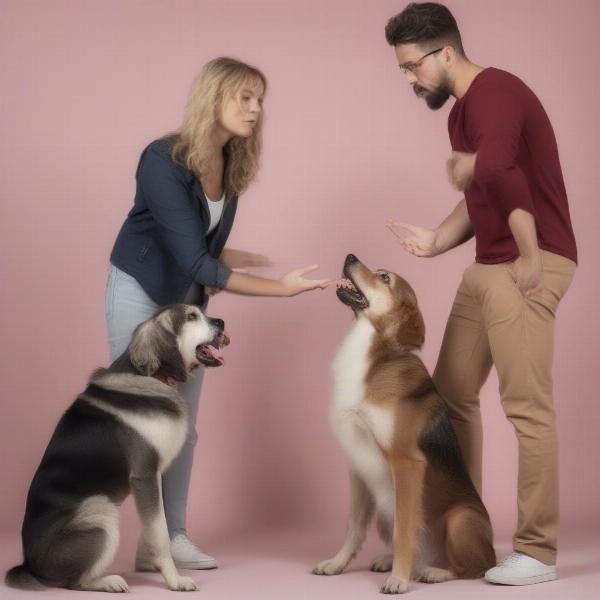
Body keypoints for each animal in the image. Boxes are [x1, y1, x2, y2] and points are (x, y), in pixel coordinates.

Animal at [5, 304, 230, 592]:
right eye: (192, 317)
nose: (221, 322)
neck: (151, 375)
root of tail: (29, 564)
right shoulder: (144, 473)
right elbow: (159, 533)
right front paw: (174, 579)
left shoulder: (154, 477)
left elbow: (156, 524)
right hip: (102, 512)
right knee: (74, 582)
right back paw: (109, 582)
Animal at [312, 254, 494, 596]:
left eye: (384, 278)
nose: (350, 256)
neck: (374, 358)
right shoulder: (357, 464)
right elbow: (353, 527)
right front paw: (337, 563)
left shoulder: (406, 463)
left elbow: (405, 532)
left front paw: (399, 578)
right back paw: (394, 561)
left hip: (460, 518)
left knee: (473, 568)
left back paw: (434, 571)